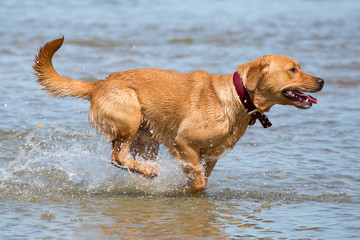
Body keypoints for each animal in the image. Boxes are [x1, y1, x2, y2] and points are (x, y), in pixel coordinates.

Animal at [34, 36, 324, 192]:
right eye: (293, 69)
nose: (321, 80)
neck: (237, 97)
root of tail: (97, 85)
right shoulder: (183, 143)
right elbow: (197, 181)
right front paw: (183, 190)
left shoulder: (211, 155)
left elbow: (202, 177)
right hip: (130, 115)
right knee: (117, 156)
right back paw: (148, 171)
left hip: (146, 139)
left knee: (124, 158)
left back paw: (144, 173)